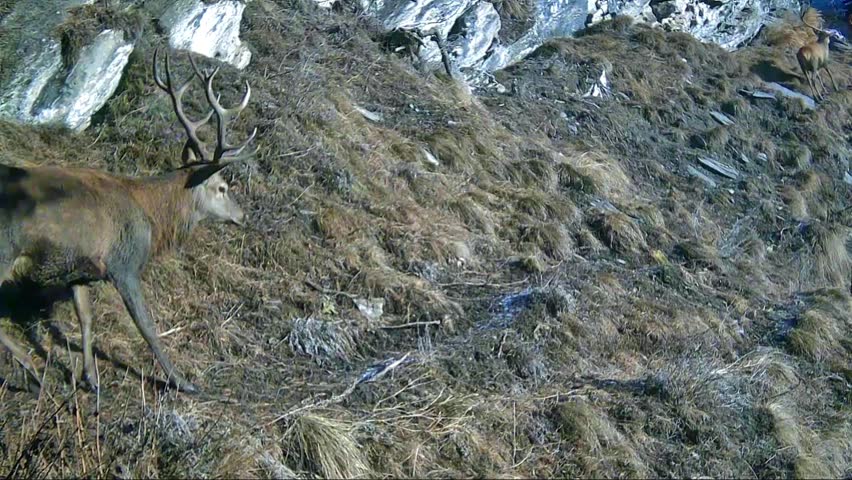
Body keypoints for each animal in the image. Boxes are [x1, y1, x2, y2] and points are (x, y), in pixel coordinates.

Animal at [0, 48, 257, 394]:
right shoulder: (125, 263)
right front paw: (181, 380)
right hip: (5, 250)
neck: (153, 218)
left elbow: (86, 318)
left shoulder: (79, 269)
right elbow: (147, 326)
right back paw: (31, 370)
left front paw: (90, 378)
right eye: (222, 188)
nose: (242, 215)